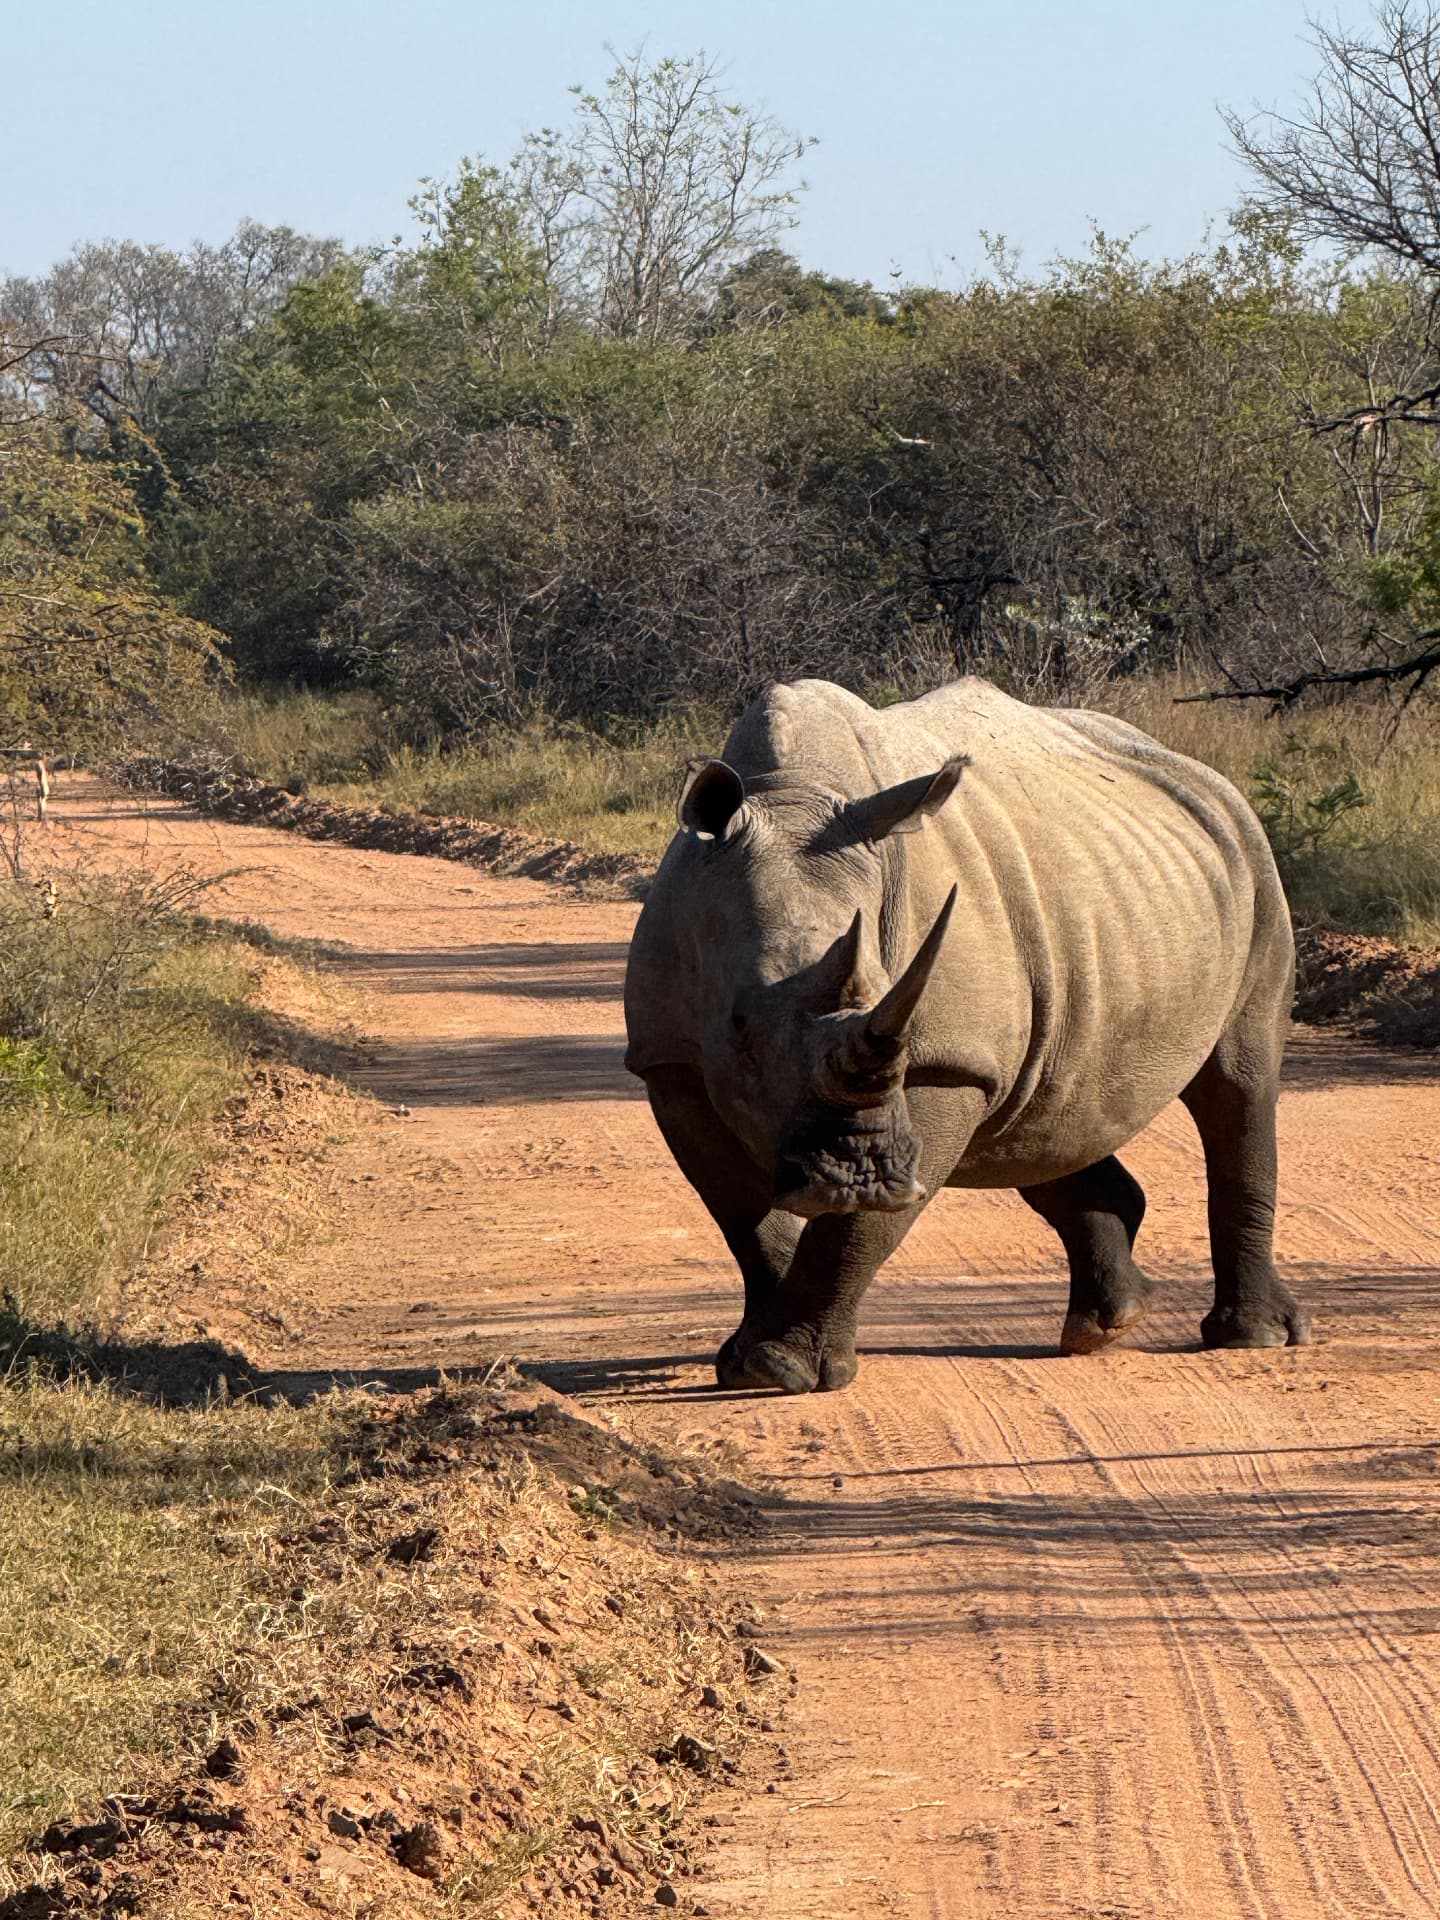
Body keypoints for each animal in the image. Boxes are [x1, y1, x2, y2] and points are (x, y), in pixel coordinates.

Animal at [623, 677, 1311, 1394]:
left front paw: (782, 1365)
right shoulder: (670, 1061)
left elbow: (853, 1231)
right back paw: (1107, 1324)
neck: (791, 792)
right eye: (740, 1025)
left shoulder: (943, 1062)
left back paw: (1250, 1337)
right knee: (1046, 1113)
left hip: (1255, 867)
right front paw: (748, 1363)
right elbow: (742, 1216)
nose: (862, 1179)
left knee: (1238, 1084)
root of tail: (1211, 781)